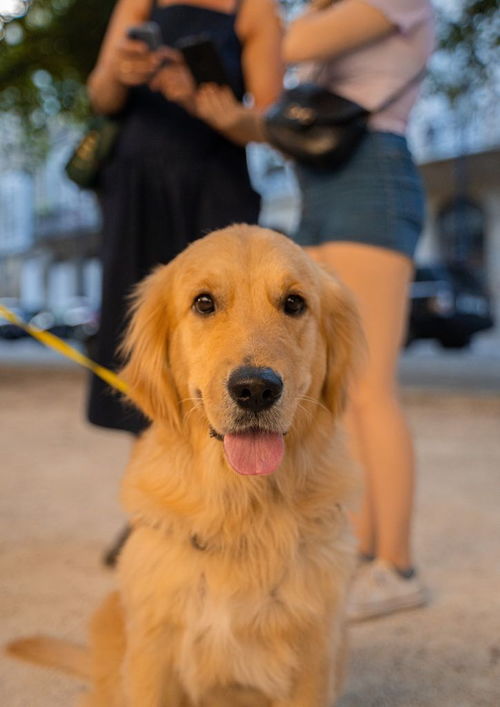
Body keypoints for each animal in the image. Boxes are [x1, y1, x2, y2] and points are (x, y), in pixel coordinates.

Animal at [8, 224, 360, 704]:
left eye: (294, 303)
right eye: (204, 302)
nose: (255, 389)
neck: (240, 505)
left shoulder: (313, 657)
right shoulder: (154, 654)